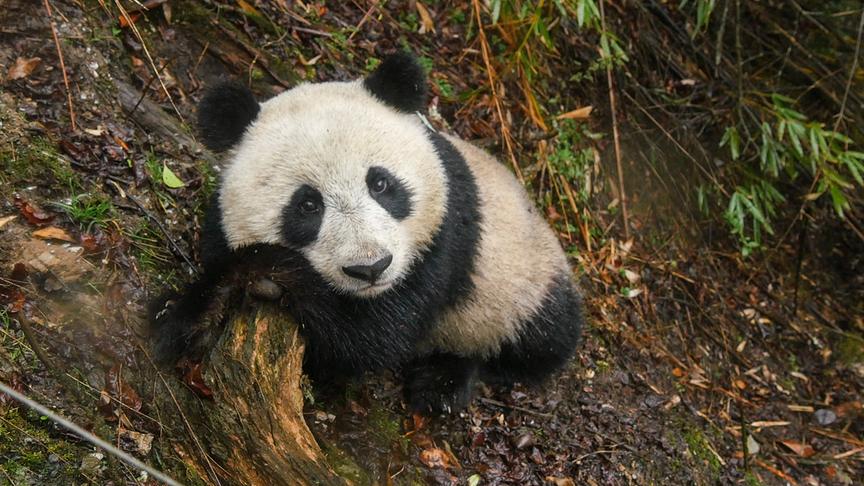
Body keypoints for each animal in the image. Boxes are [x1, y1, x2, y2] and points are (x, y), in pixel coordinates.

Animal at [150, 52, 583, 413]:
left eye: (380, 184)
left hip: (521, 282)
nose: (371, 268)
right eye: (307, 205)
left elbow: (368, 340)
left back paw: (443, 383)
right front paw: (181, 314)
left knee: (536, 342)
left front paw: (272, 273)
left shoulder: (442, 238)